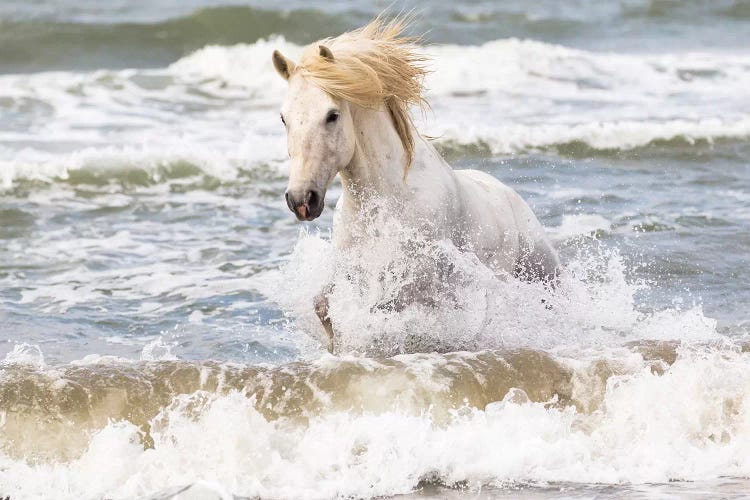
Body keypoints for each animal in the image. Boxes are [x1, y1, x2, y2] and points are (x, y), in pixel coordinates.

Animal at [274, 16, 560, 352]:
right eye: (284, 118)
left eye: (331, 115)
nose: (301, 200)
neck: (389, 198)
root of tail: (510, 195)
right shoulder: (352, 264)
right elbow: (323, 304)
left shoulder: (419, 278)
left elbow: (385, 309)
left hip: (542, 273)